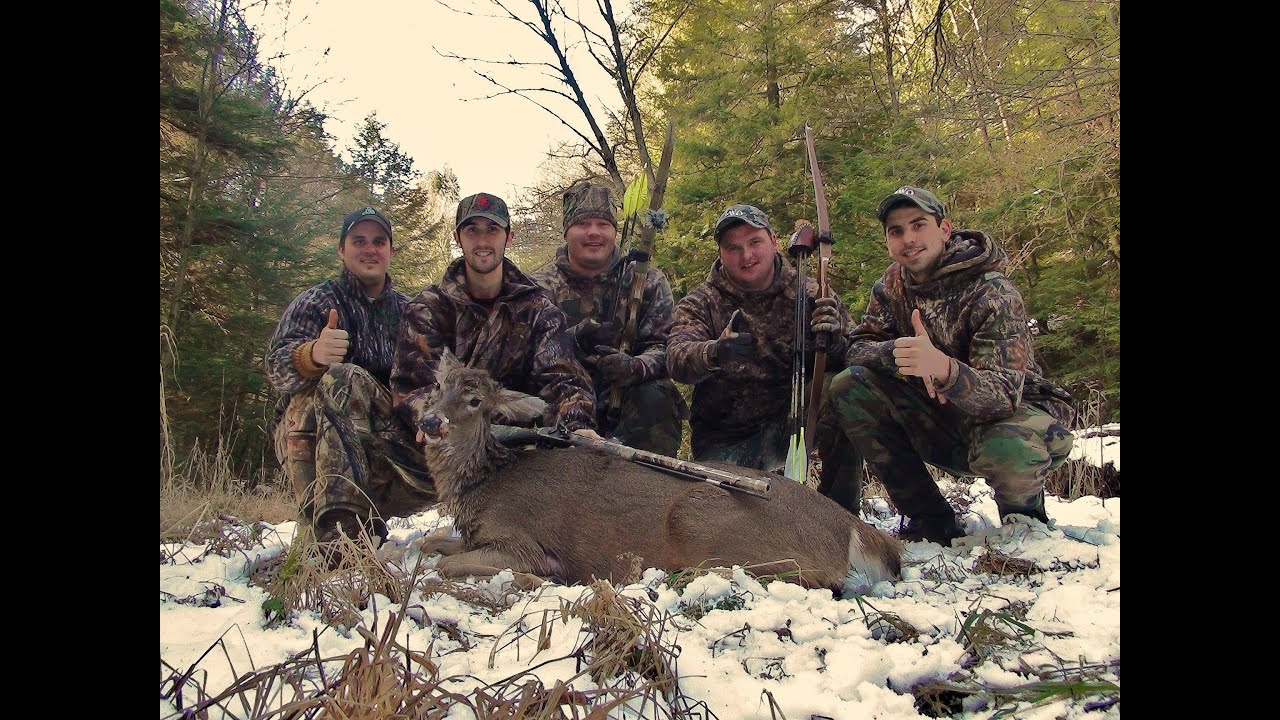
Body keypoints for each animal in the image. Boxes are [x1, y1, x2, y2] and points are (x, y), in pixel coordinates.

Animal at [414, 351, 902, 594]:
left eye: (476, 401)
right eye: (437, 385)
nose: (431, 421)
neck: (486, 485)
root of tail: (851, 527)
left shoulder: (522, 540)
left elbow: (446, 565)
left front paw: (533, 581)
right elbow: (429, 542)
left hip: (705, 522)